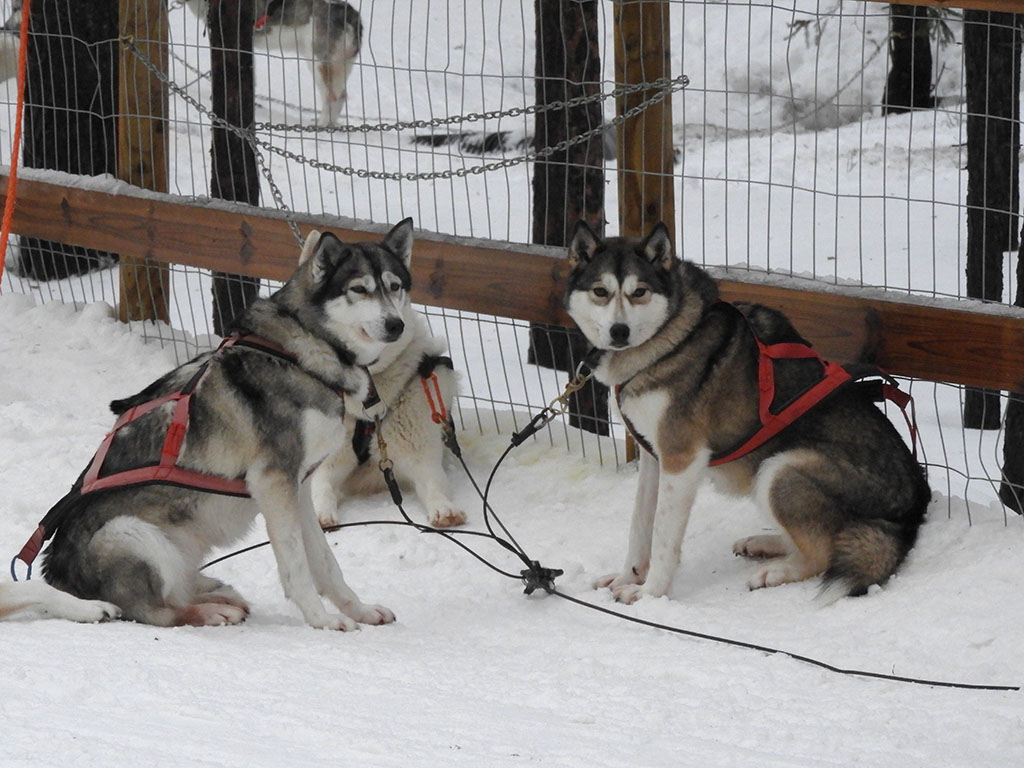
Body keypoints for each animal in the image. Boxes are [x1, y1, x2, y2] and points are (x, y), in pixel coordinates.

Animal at [3, 222, 415, 630]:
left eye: (395, 286)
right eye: (359, 289)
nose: (396, 325)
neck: (306, 351)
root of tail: (58, 577)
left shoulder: (299, 488)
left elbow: (327, 564)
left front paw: (358, 610)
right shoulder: (275, 484)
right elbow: (296, 567)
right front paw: (321, 619)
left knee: (178, 592)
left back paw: (215, 592)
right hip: (134, 535)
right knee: (159, 612)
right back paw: (210, 611)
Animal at [184, 0, 364, 126]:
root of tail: (350, 15)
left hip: (318, 62)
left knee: (332, 96)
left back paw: (322, 125)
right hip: (342, 65)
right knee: (342, 95)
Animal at [296, 230, 468, 528]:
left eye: (394, 286)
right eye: (358, 290)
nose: (394, 325)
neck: (368, 409)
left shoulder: (422, 461)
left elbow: (433, 485)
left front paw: (444, 509)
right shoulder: (326, 466)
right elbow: (322, 487)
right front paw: (321, 515)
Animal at [565, 219, 933, 606]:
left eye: (639, 292)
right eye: (600, 292)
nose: (619, 331)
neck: (669, 340)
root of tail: (909, 514)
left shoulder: (681, 460)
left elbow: (663, 538)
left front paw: (650, 594)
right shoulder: (653, 456)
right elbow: (639, 527)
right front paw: (627, 577)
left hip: (782, 469)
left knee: (821, 554)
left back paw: (776, 572)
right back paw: (765, 543)